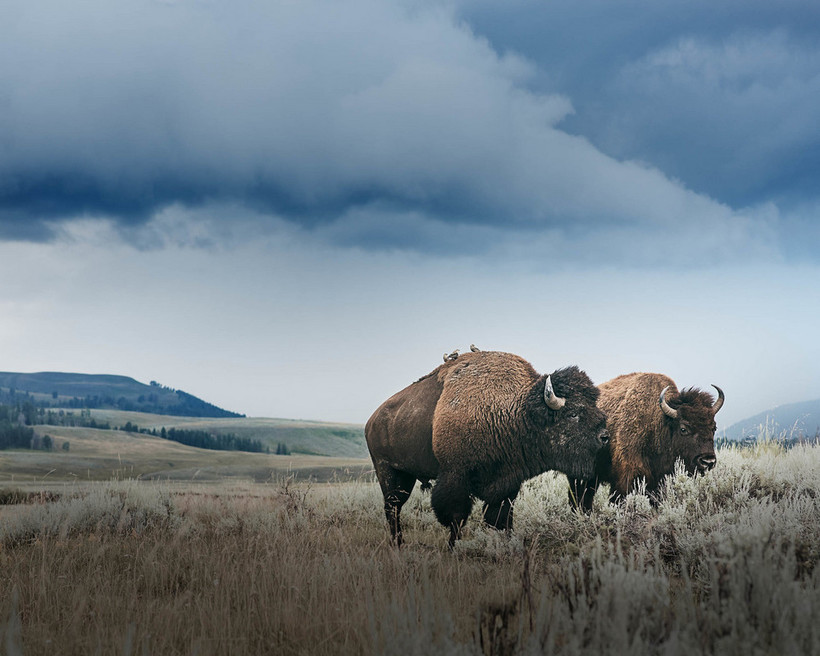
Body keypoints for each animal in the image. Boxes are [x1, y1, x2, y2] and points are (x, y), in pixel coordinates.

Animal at [366, 352, 608, 544]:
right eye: (573, 413)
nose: (604, 436)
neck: (516, 412)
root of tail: (372, 420)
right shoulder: (455, 476)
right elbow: (456, 518)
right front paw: (453, 548)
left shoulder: (507, 482)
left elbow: (500, 518)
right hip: (387, 471)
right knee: (392, 508)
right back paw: (397, 544)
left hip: (406, 475)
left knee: (394, 507)